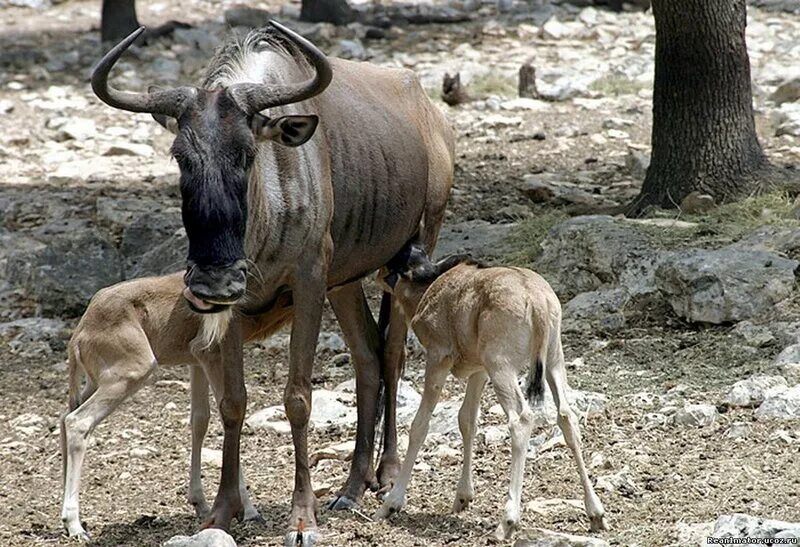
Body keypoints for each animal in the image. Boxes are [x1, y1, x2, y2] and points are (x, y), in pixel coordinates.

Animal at [60, 274, 290, 540]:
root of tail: (79, 335)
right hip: (130, 375)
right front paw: (251, 512)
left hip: (96, 381)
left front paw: (201, 504)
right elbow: (231, 413)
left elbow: (200, 419)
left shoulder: (196, 362)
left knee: (65, 416)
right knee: (78, 421)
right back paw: (74, 524)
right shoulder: (211, 354)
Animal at [374, 244, 608, 540]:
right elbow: (467, 420)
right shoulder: (479, 371)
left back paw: (507, 521)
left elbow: (419, 426)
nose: (377, 276)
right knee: (567, 416)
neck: (430, 286)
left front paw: (391, 503)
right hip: (554, 360)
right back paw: (596, 513)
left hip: (502, 367)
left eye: (397, 263)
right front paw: (462, 497)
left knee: (521, 419)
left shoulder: (438, 359)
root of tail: (537, 300)